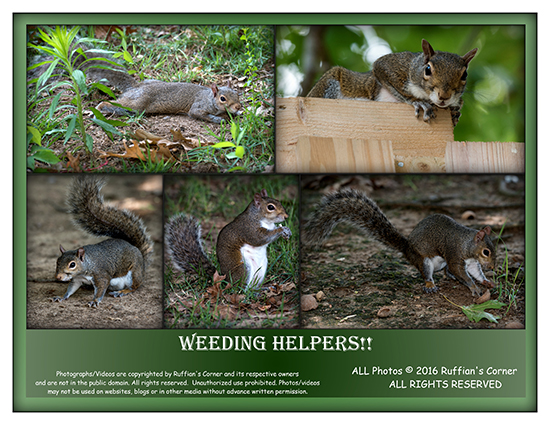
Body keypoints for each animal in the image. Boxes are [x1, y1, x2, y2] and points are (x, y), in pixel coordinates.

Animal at [53, 176, 154, 308]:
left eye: (72, 264)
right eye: (57, 261)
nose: (58, 277)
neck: (87, 265)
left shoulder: (101, 275)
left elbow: (101, 288)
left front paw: (95, 301)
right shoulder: (77, 279)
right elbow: (71, 289)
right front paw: (61, 297)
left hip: (134, 273)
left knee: (135, 286)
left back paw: (122, 292)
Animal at [165, 190, 294, 292]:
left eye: (278, 201)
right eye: (270, 207)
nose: (286, 217)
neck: (260, 218)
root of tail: (225, 279)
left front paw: (287, 231)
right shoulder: (248, 229)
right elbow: (258, 238)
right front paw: (281, 230)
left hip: (261, 270)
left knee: (251, 287)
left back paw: (261, 288)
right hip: (243, 269)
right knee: (241, 289)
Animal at [304, 189, 498, 298]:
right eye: (486, 252)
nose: (493, 268)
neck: (467, 244)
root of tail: (407, 248)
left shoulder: (471, 262)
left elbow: (474, 272)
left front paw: (486, 282)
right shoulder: (455, 254)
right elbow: (461, 272)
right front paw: (473, 287)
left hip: (441, 262)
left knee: (446, 271)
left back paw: (448, 277)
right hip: (424, 260)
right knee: (428, 273)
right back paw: (430, 285)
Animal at [308, 38, 480, 125]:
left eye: (464, 75)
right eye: (428, 69)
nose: (444, 96)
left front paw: (455, 113)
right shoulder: (391, 66)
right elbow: (393, 84)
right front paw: (417, 101)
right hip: (329, 83)